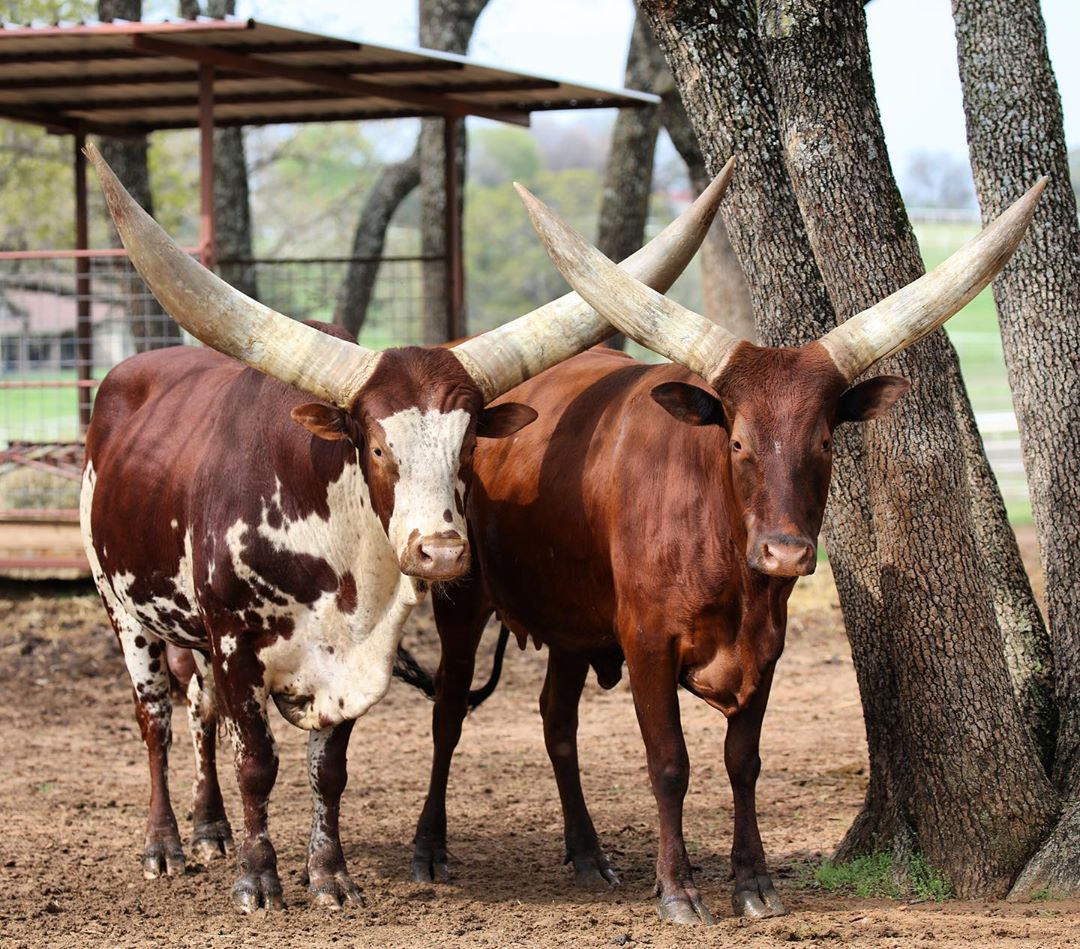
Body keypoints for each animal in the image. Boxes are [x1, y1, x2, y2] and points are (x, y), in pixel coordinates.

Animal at [79, 146, 730, 911]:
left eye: (470, 441)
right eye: (377, 447)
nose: (441, 550)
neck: (328, 562)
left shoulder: (357, 653)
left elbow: (327, 770)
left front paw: (330, 876)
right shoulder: (236, 640)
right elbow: (258, 762)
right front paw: (260, 879)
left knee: (196, 707)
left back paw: (210, 829)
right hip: (125, 611)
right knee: (154, 718)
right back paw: (166, 844)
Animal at [406, 174, 1045, 924]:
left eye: (824, 440)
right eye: (737, 441)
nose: (785, 554)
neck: (730, 566)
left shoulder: (766, 646)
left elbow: (744, 761)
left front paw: (753, 881)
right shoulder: (647, 642)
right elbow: (670, 762)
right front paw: (678, 890)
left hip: (569, 623)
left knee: (556, 721)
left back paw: (589, 855)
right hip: (459, 594)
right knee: (447, 712)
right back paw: (428, 850)